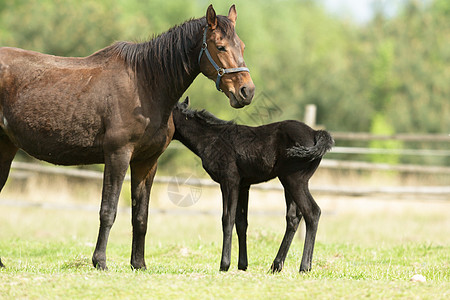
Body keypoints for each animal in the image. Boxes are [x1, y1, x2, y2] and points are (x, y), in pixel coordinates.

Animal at [0, 4, 253, 270]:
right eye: (220, 46)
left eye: (242, 46)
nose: (247, 91)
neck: (145, 85)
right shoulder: (117, 155)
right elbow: (108, 210)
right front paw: (100, 261)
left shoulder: (147, 162)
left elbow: (140, 216)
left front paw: (138, 263)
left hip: (5, 148)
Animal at [172, 98, 334, 272]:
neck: (211, 138)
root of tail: (315, 133)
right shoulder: (244, 186)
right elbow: (241, 222)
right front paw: (242, 265)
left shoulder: (229, 181)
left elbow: (227, 219)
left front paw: (224, 264)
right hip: (290, 182)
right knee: (293, 218)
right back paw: (277, 265)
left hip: (294, 180)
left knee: (312, 212)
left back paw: (304, 267)